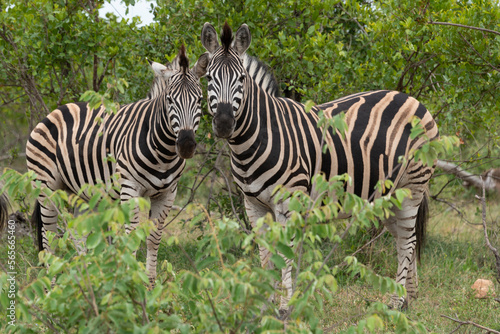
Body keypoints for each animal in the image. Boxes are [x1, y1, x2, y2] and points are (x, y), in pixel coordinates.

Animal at [24, 44, 209, 284]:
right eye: (169, 100)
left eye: (200, 100)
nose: (186, 145)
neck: (163, 153)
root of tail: (56, 110)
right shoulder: (130, 188)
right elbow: (132, 237)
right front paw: (130, 283)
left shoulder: (168, 193)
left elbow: (153, 238)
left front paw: (150, 285)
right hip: (46, 187)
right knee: (49, 237)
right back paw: (53, 285)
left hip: (79, 191)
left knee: (78, 234)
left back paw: (89, 277)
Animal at [199, 23, 438, 314]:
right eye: (208, 79)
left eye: (242, 79)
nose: (223, 124)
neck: (259, 137)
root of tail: (413, 99)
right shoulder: (253, 205)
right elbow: (265, 255)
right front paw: (262, 305)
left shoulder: (289, 203)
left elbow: (284, 255)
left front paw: (284, 307)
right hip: (388, 197)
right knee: (406, 238)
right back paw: (408, 296)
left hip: (412, 187)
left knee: (407, 241)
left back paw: (395, 302)